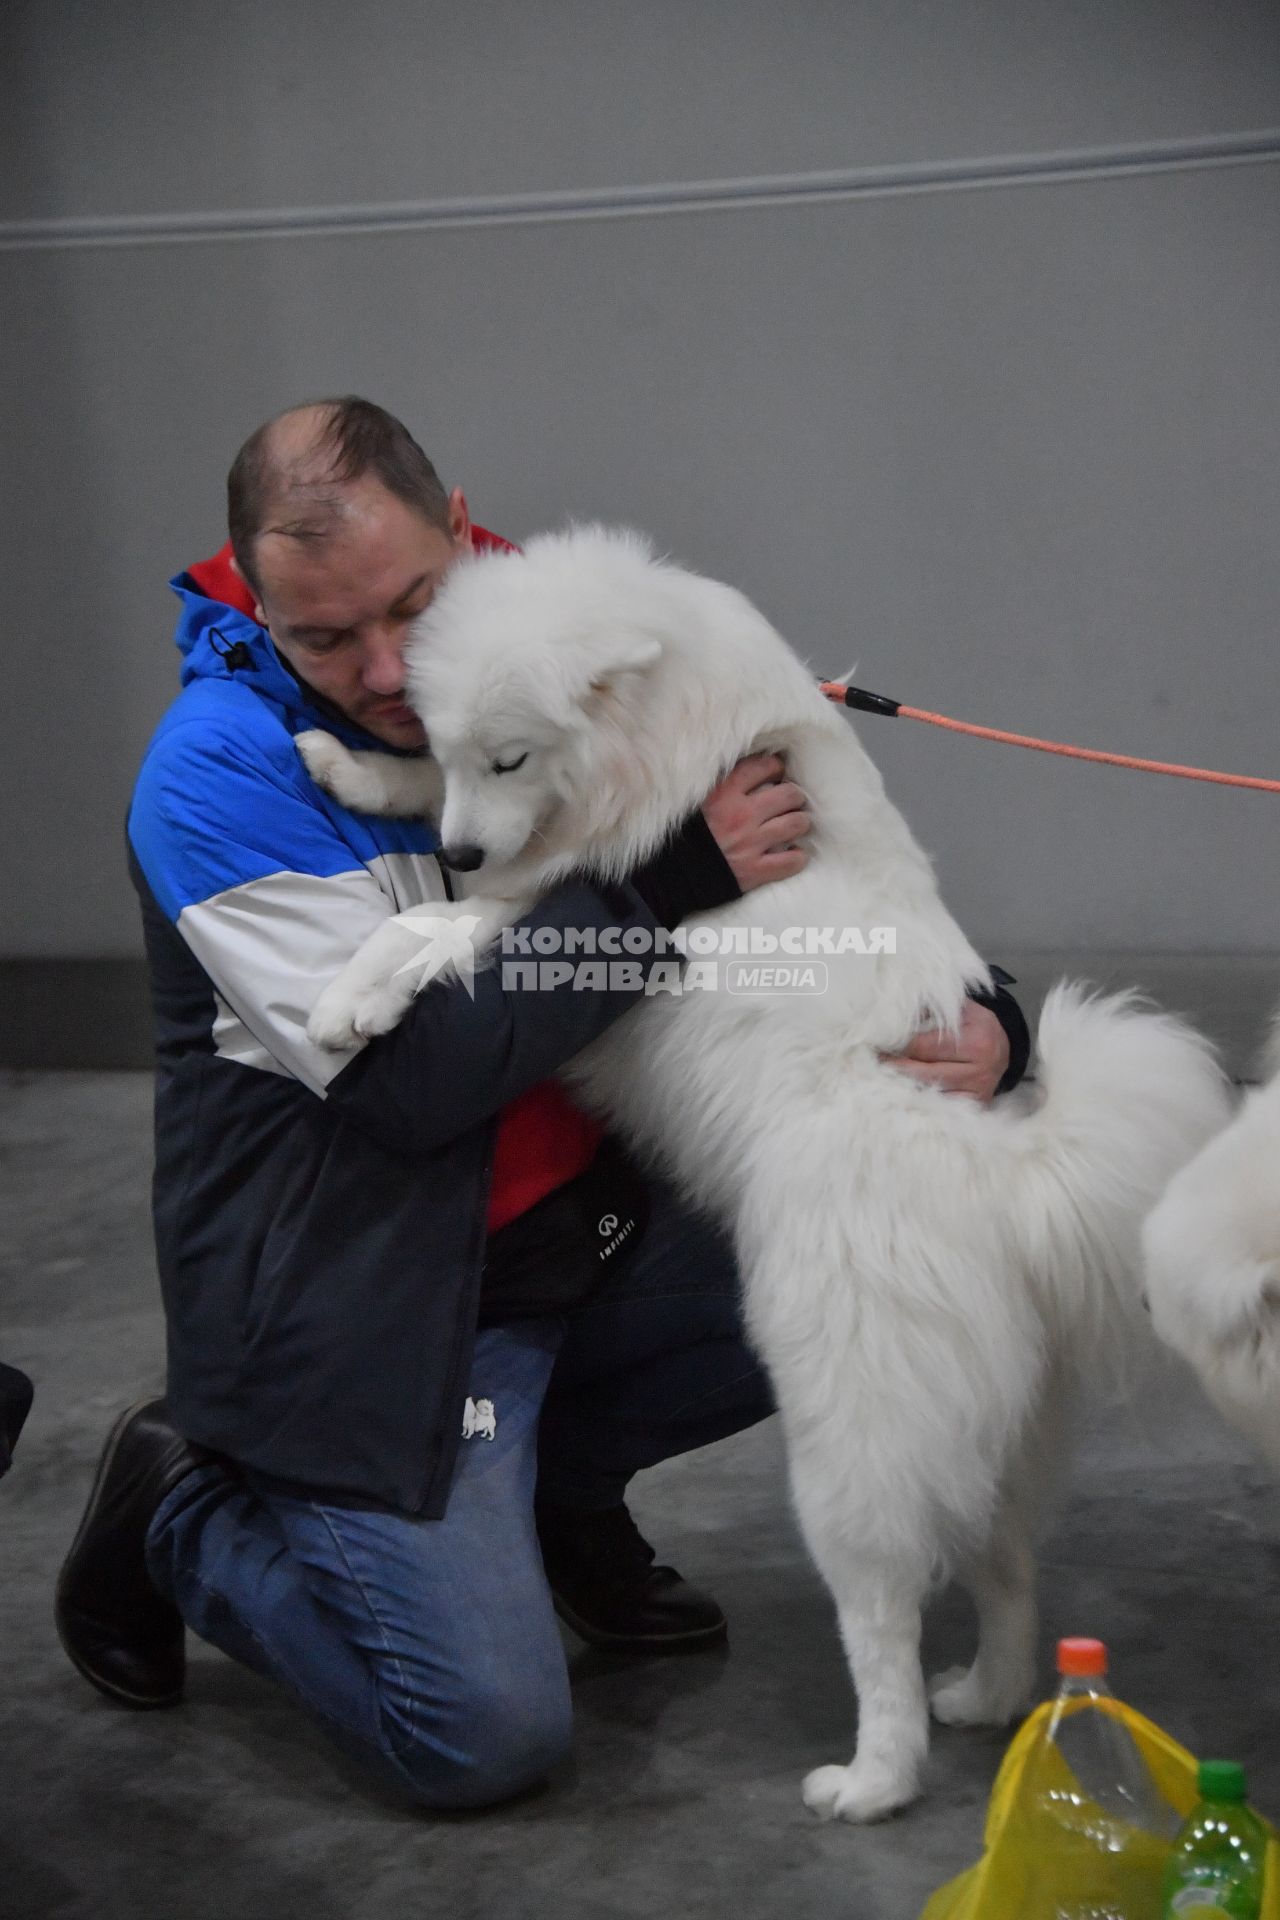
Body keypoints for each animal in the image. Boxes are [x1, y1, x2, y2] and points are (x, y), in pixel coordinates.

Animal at [295, 533, 1228, 1820]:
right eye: (457, 744)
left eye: (512, 755)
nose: (464, 848)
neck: (663, 712)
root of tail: (1003, 1172)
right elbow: (419, 826)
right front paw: (349, 763)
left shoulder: (561, 889)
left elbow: (433, 930)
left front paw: (351, 1002)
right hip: (984, 1430)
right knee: (1006, 1570)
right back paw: (987, 1698)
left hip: (846, 1431)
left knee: (881, 1614)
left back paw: (873, 1778)